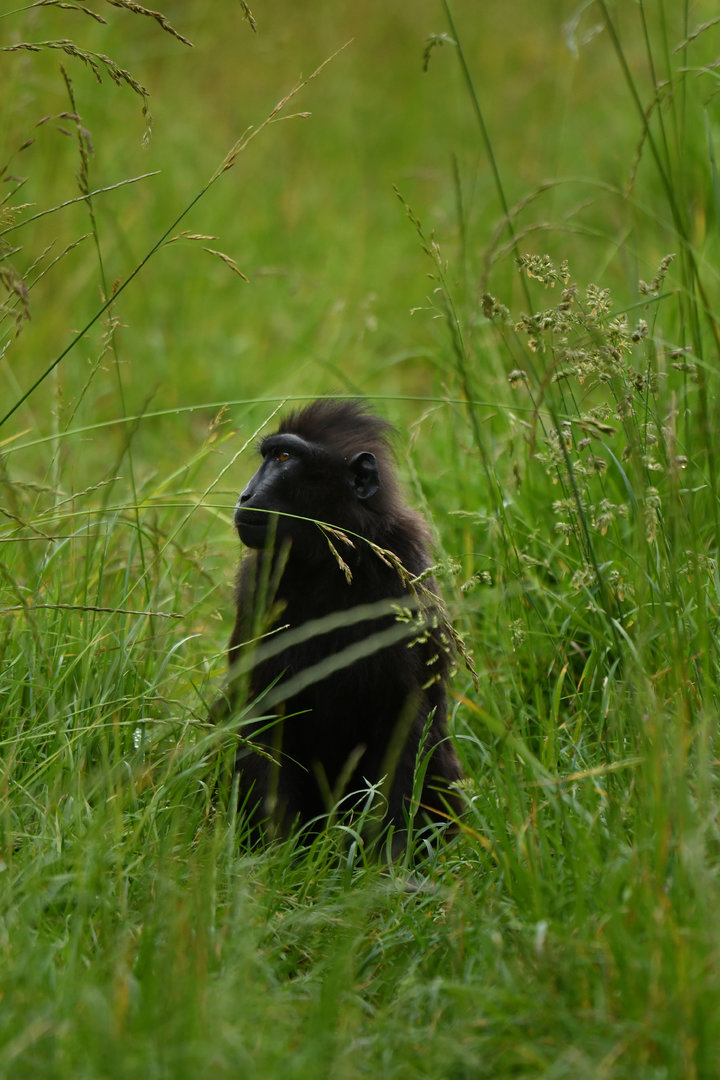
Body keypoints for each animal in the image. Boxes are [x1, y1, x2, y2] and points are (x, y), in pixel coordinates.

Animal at [214, 399, 463, 849]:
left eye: (284, 458)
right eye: (270, 455)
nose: (245, 495)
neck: (331, 562)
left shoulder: (405, 575)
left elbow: (406, 720)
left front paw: (389, 860)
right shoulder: (260, 581)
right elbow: (261, 713)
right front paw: (272, 858)